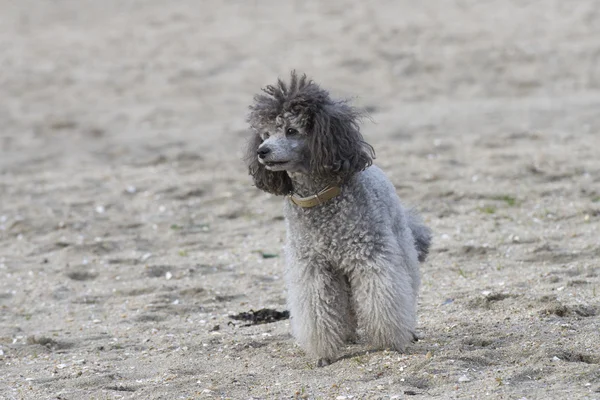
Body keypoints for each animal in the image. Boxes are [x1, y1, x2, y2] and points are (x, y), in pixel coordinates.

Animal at [245, 71, 432, 366]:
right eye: (264, 134)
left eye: (291, 130)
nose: (262, 151)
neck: (320, 197)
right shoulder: (313, 268)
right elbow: (318, 310)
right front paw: (324, 353)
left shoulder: (370, 258)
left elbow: (381, 300)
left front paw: (390, 343)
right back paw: (348, 335)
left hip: (399, 243)